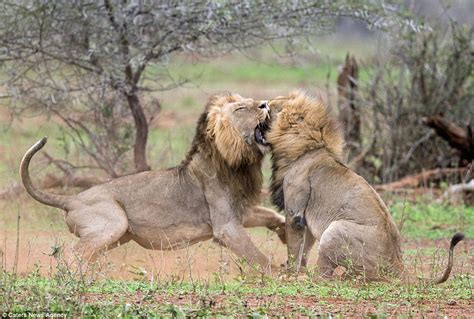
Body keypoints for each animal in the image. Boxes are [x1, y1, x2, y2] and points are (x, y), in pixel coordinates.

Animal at [19, 94, 286, 272]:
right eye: (241, 107)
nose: (265, 103)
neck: (236, 162)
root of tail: (71, 199)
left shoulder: (240, 212)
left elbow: (270, 215)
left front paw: (284, 232)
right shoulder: (226, 227)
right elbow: (257, 255)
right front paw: (282, 273)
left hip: (118, 235)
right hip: (113, 223)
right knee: (71, 253)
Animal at [268, 91, 464, 284]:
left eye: (272, 105)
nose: (264, 103)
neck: (305, 146)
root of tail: (396, 261)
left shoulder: (295, 214)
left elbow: (294, 249)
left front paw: (290, 276)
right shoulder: (306, 217)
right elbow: (305, 248)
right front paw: (298, 271)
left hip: (335, 229)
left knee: (324, 277)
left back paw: (310, 279)